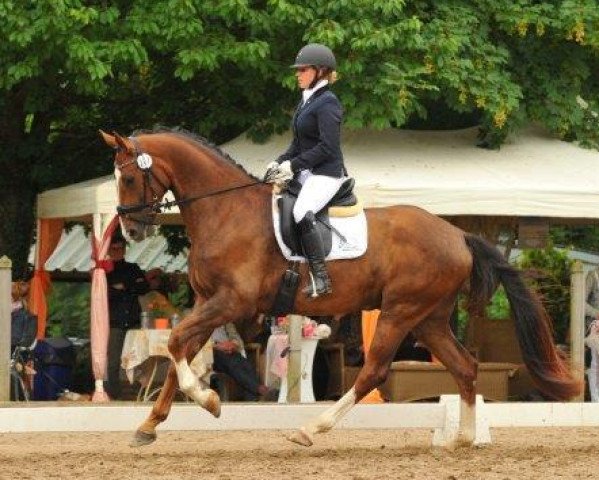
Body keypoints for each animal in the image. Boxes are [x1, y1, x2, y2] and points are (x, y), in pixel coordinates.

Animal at [102, 129, 580, 448]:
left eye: (129, 179)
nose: (131, 229)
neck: (225, 210)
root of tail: (458, 235)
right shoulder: (208, 300)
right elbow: (178, 350)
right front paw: (149, 425)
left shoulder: (232, 302)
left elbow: (178, 343)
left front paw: (209, 401)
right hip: (429, 318)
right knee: (464, 366)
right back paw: (462, 440)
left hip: (400, 312)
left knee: (375, 371)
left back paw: (311, 428)